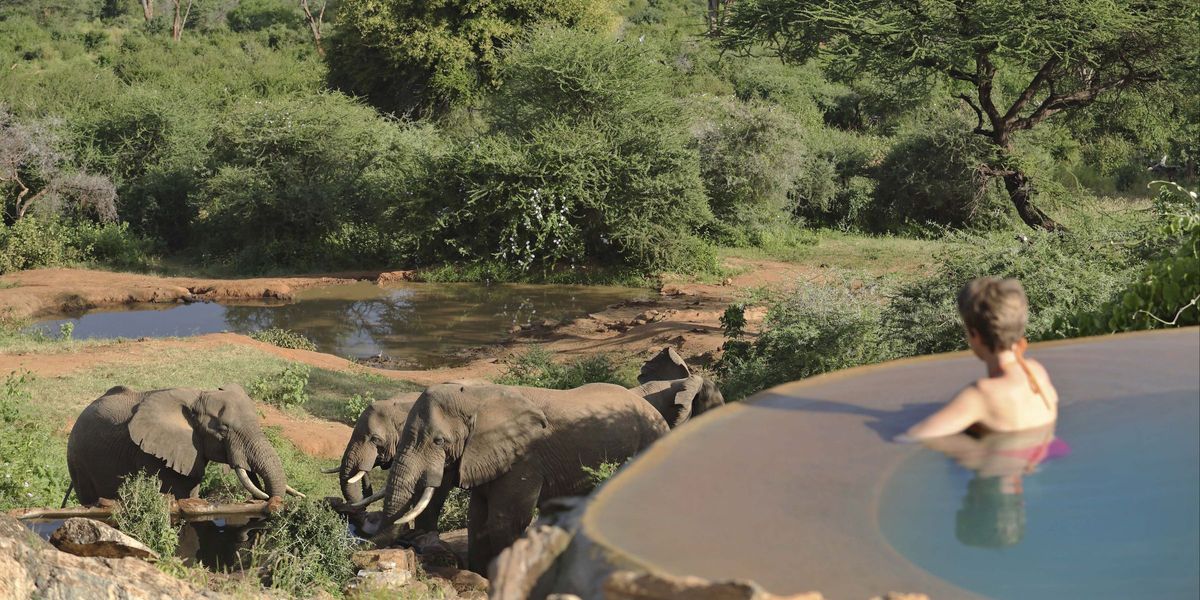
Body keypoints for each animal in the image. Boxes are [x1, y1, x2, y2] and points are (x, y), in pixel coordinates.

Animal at [360, 381, 672, 573]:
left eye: (439, 441)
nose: (407, 545)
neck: (476, 396)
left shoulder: (525, 457)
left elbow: (504, 521)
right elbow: (478, 519)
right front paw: (481, 575)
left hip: (650, 442)